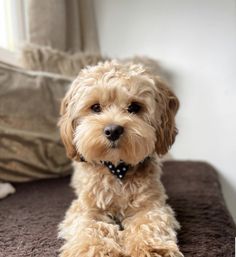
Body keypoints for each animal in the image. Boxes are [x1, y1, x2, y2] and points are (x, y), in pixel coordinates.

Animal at [58, 60, 183, 256]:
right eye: (95, 107)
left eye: (134, 107)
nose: (113, 130)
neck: (117, 168)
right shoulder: (85, 209)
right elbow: (90, 227)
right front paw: (97, 249)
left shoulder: (151, 206)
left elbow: (149, 224)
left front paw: (150, 248)